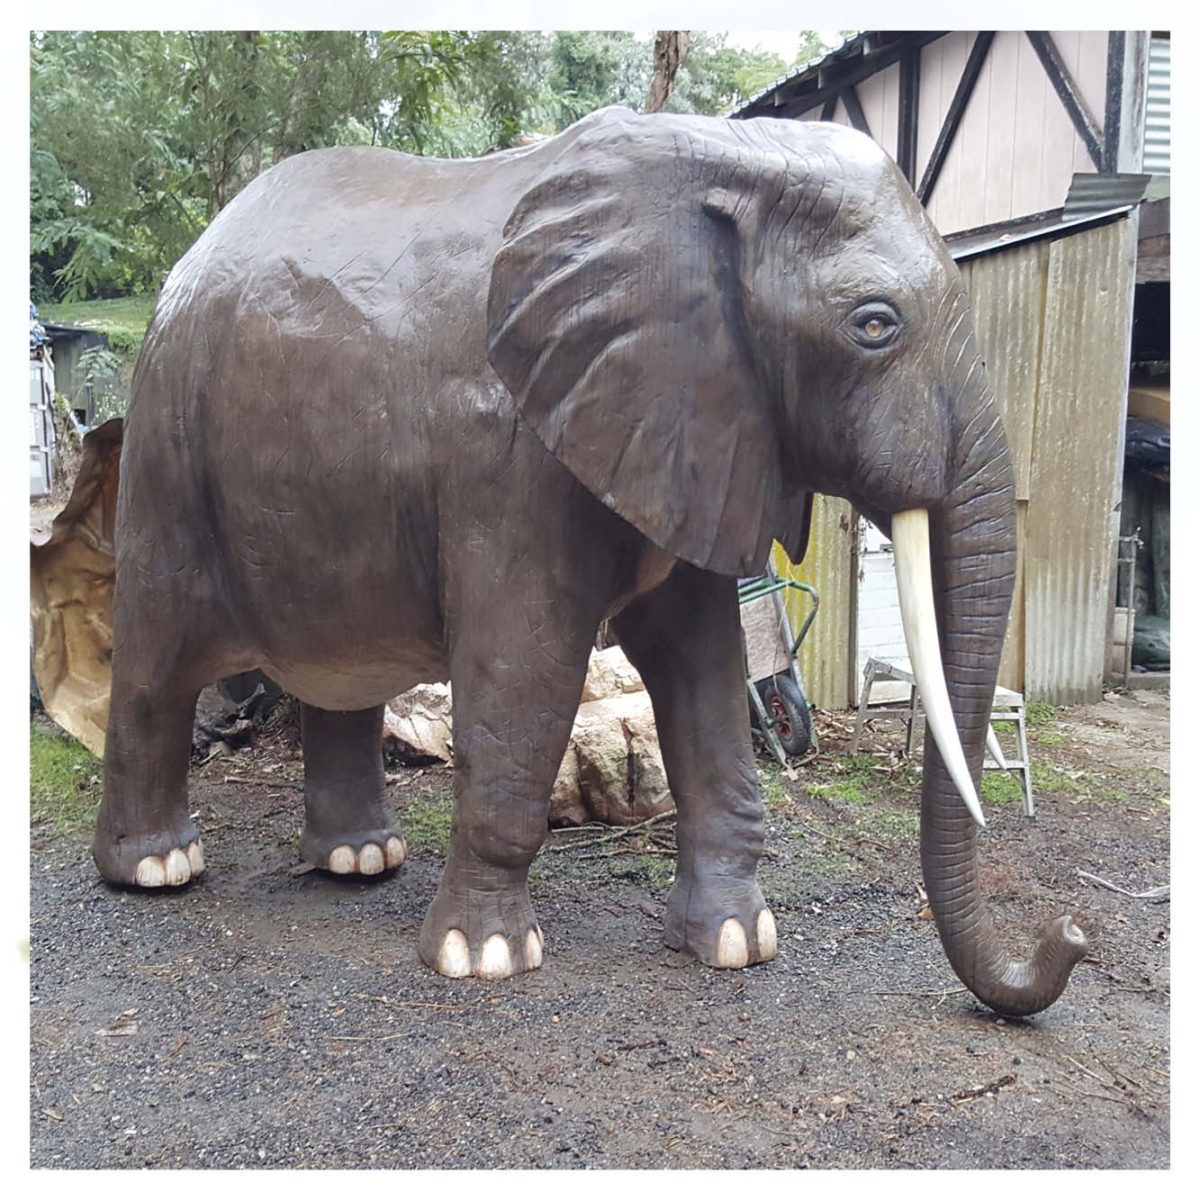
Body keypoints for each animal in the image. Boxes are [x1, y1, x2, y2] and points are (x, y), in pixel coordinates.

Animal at [95, 106, 1089, 1015]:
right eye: (873, 325)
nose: (1071, 936)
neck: (719, 154)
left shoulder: (697, 421)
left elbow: (703, 669)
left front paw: (736, 943)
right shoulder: (506, 450)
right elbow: (525, 674)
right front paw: (484, 962)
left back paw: (360, 860)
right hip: (168, 453)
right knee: (156, 659)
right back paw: (158, 870)